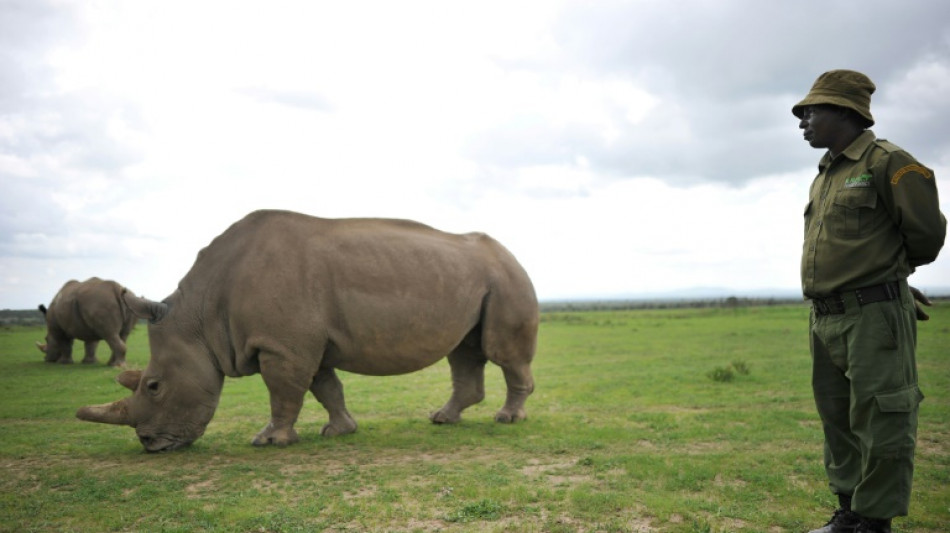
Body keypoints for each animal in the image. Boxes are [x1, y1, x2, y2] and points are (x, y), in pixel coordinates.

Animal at [77, 210, 539, 452]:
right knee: (464, 350)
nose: (149, 443)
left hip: (506, 277)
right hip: (480, 280)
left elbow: (283, 392)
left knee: (502, 352)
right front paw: (340, 430)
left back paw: (507, 420)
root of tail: (511, 254)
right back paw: (443, 420)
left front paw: (269, 440)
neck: (199, 317)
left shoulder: (281, 346)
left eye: (153, 386)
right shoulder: (301, 343)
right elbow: (325, 387)